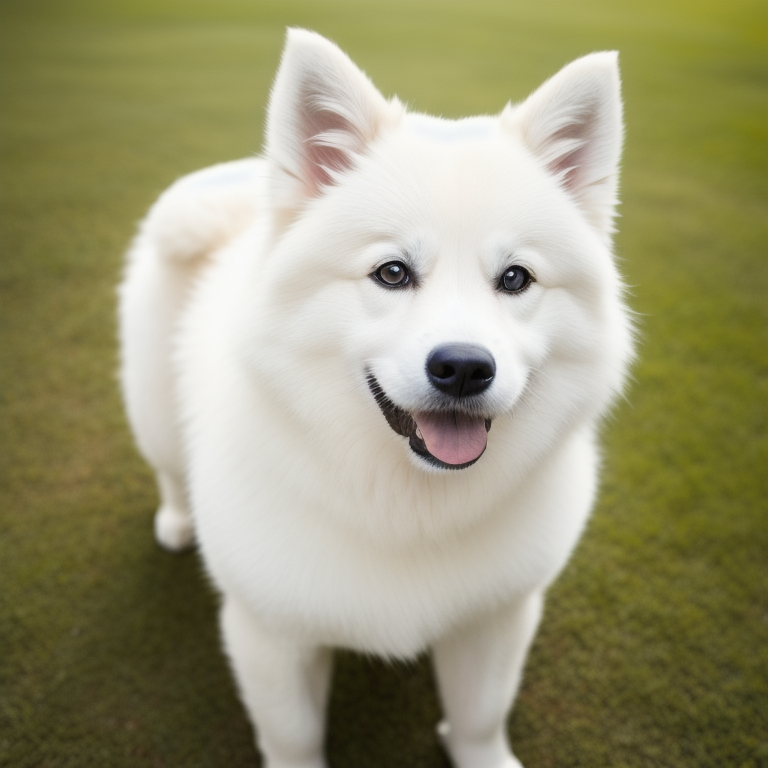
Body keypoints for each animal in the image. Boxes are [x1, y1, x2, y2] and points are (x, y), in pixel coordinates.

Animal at [118, 28, 632, 768]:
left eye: (515, 278)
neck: (404, 504)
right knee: (167, 465)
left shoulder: (497, 617)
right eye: (392, 273)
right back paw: (178, 520)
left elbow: (480, 717)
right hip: (154, 409)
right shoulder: (268, 633)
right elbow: (293, 735)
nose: (463, 368)